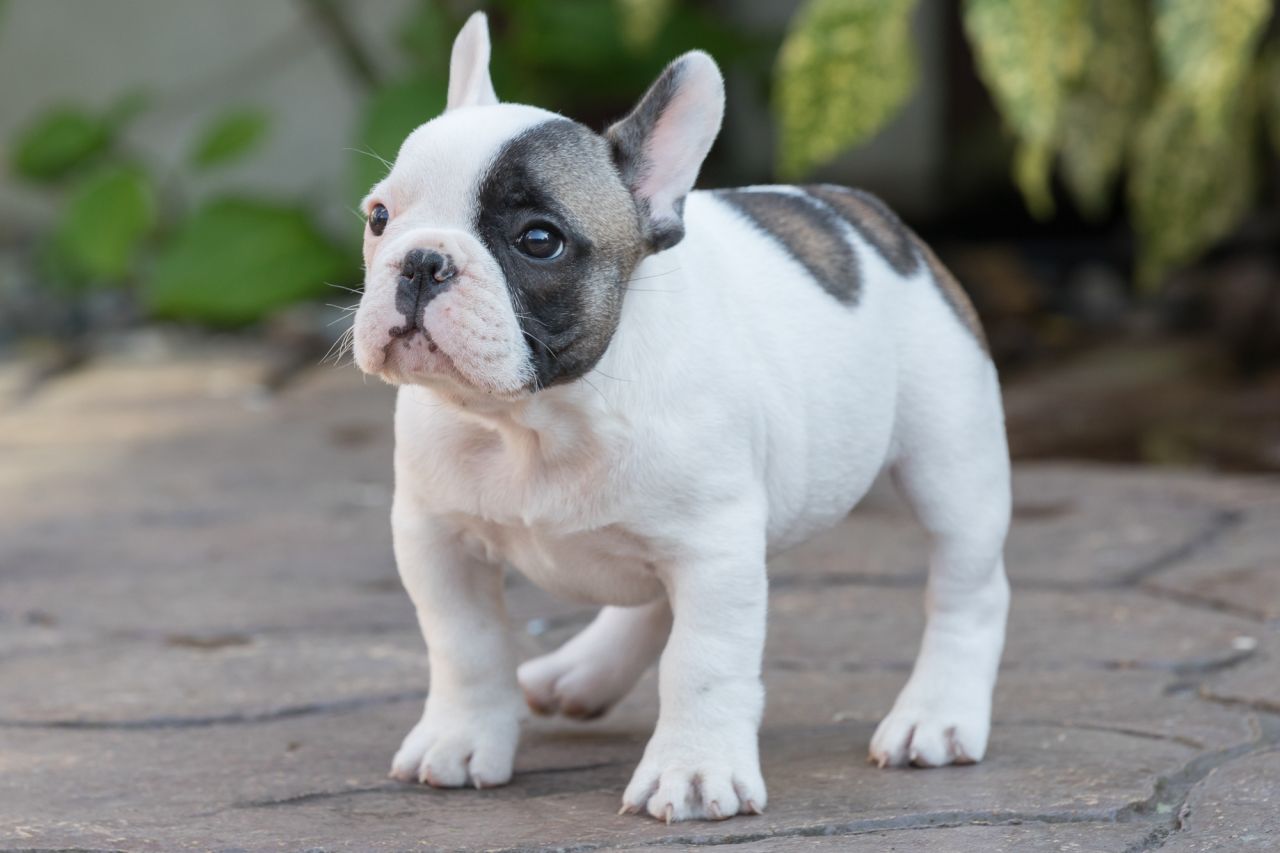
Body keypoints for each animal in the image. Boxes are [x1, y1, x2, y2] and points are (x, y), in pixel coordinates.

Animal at [350, 13, 1008, 819]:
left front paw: (693, 771)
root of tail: (874, 217)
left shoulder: (715, 549)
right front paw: (461, 739)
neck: (537, 421)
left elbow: (702, 663)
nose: (420, 261)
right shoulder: (436, 536)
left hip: (951, 459)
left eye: (539, 239)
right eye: (380, 217)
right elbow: (464, 644)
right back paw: (583, 672)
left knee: (966, 586)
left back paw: (936, 716)